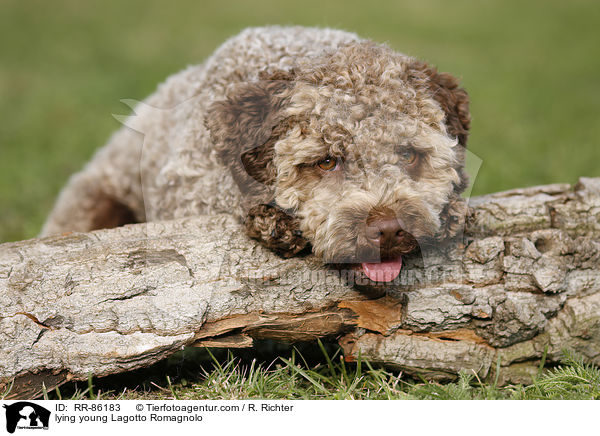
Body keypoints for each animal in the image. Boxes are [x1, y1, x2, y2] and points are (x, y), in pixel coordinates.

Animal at [43, 27, 474, 284]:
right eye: (326, 161)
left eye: (409, 155)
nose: (388, 230)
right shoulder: (184, 185)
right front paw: (273, 221)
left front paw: (452, 211)